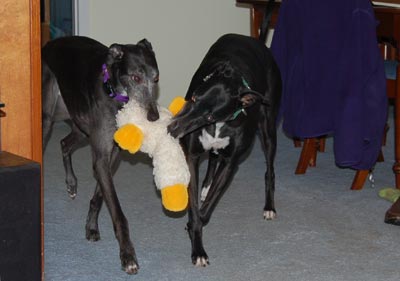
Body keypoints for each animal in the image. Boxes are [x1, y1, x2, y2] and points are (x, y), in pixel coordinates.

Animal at [41, 35, 159, 274]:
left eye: (156, 78)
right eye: (135, 77)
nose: (154, 117)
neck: (112, 91)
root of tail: (50, 43)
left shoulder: (111, 156)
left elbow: (99, 197)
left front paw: (91, 227)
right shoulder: (102, 156)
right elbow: (118, 212)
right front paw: (128, 256)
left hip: (80, 125)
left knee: (64, 143)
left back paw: (71, 183)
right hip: (49, 117)